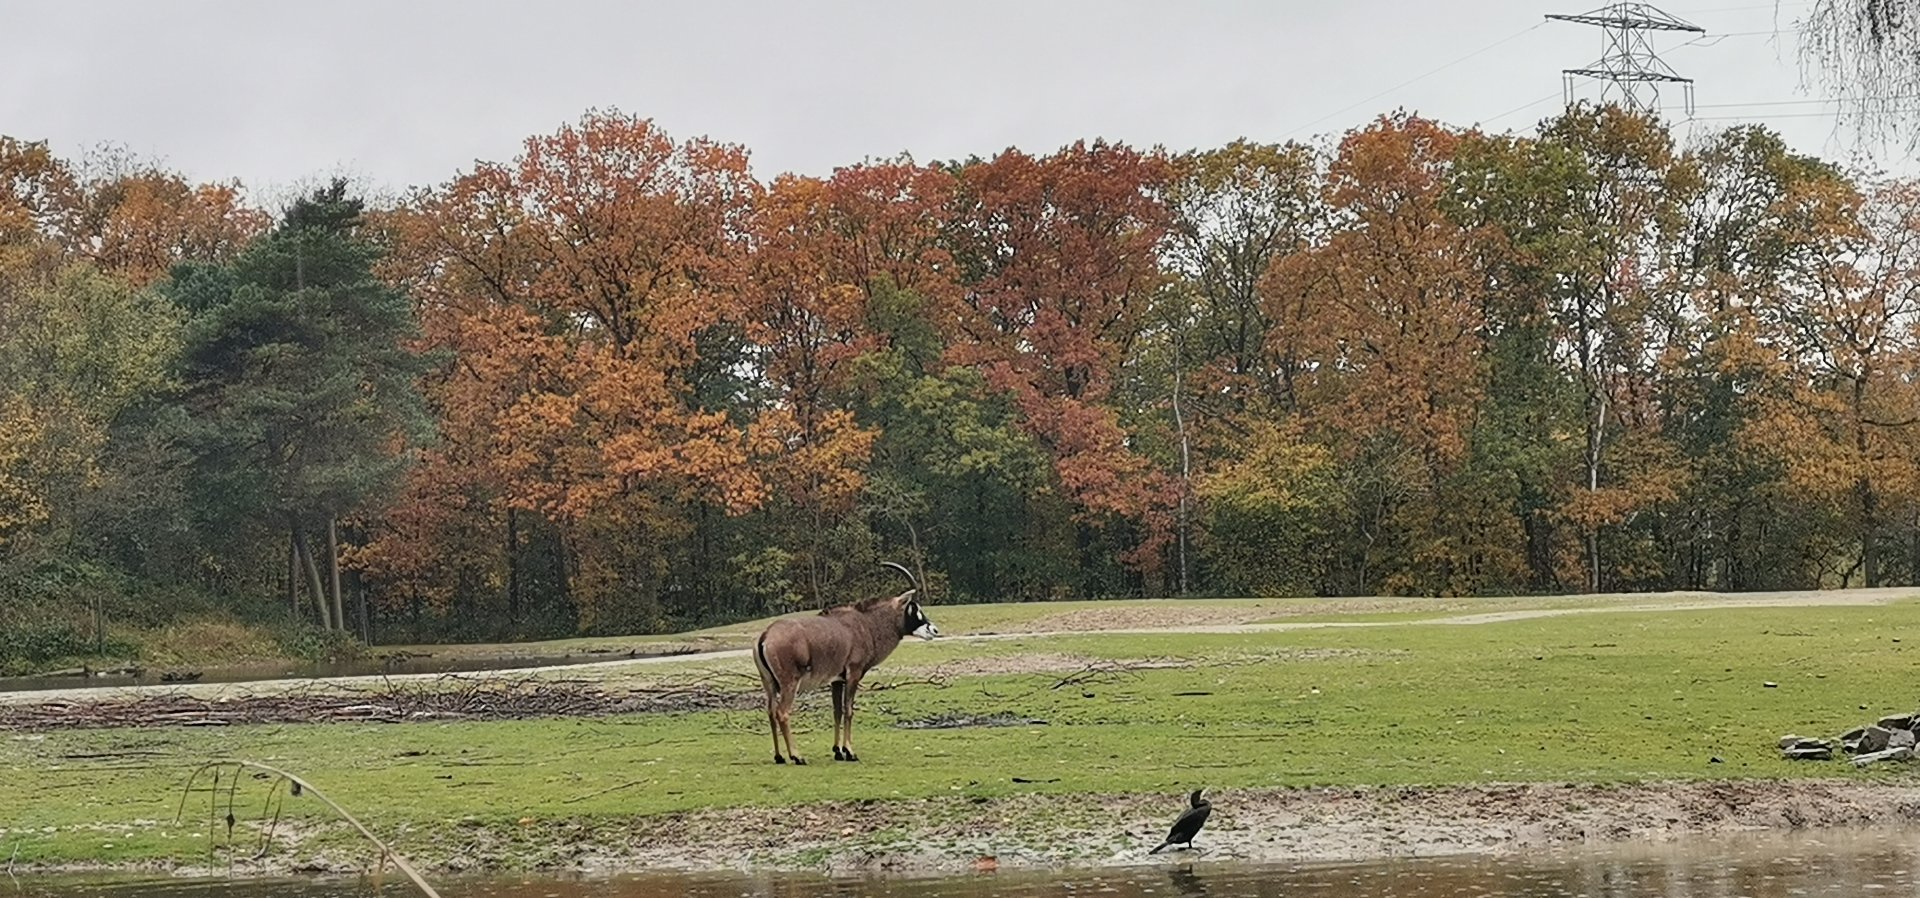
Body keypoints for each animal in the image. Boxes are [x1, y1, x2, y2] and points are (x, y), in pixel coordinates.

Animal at [752, 561, 939, 764]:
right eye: (913, 608)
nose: (934, 630)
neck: (866, 624)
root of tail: (766, 636)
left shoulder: (837, 680)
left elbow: (837, 712)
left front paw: (837, 751)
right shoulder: (853, 674)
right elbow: (849, 710)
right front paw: (850, 752)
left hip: (769, 683)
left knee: (771, 711)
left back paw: (779, 757)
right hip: (790, 683)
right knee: (782, 712)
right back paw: (797, 756)